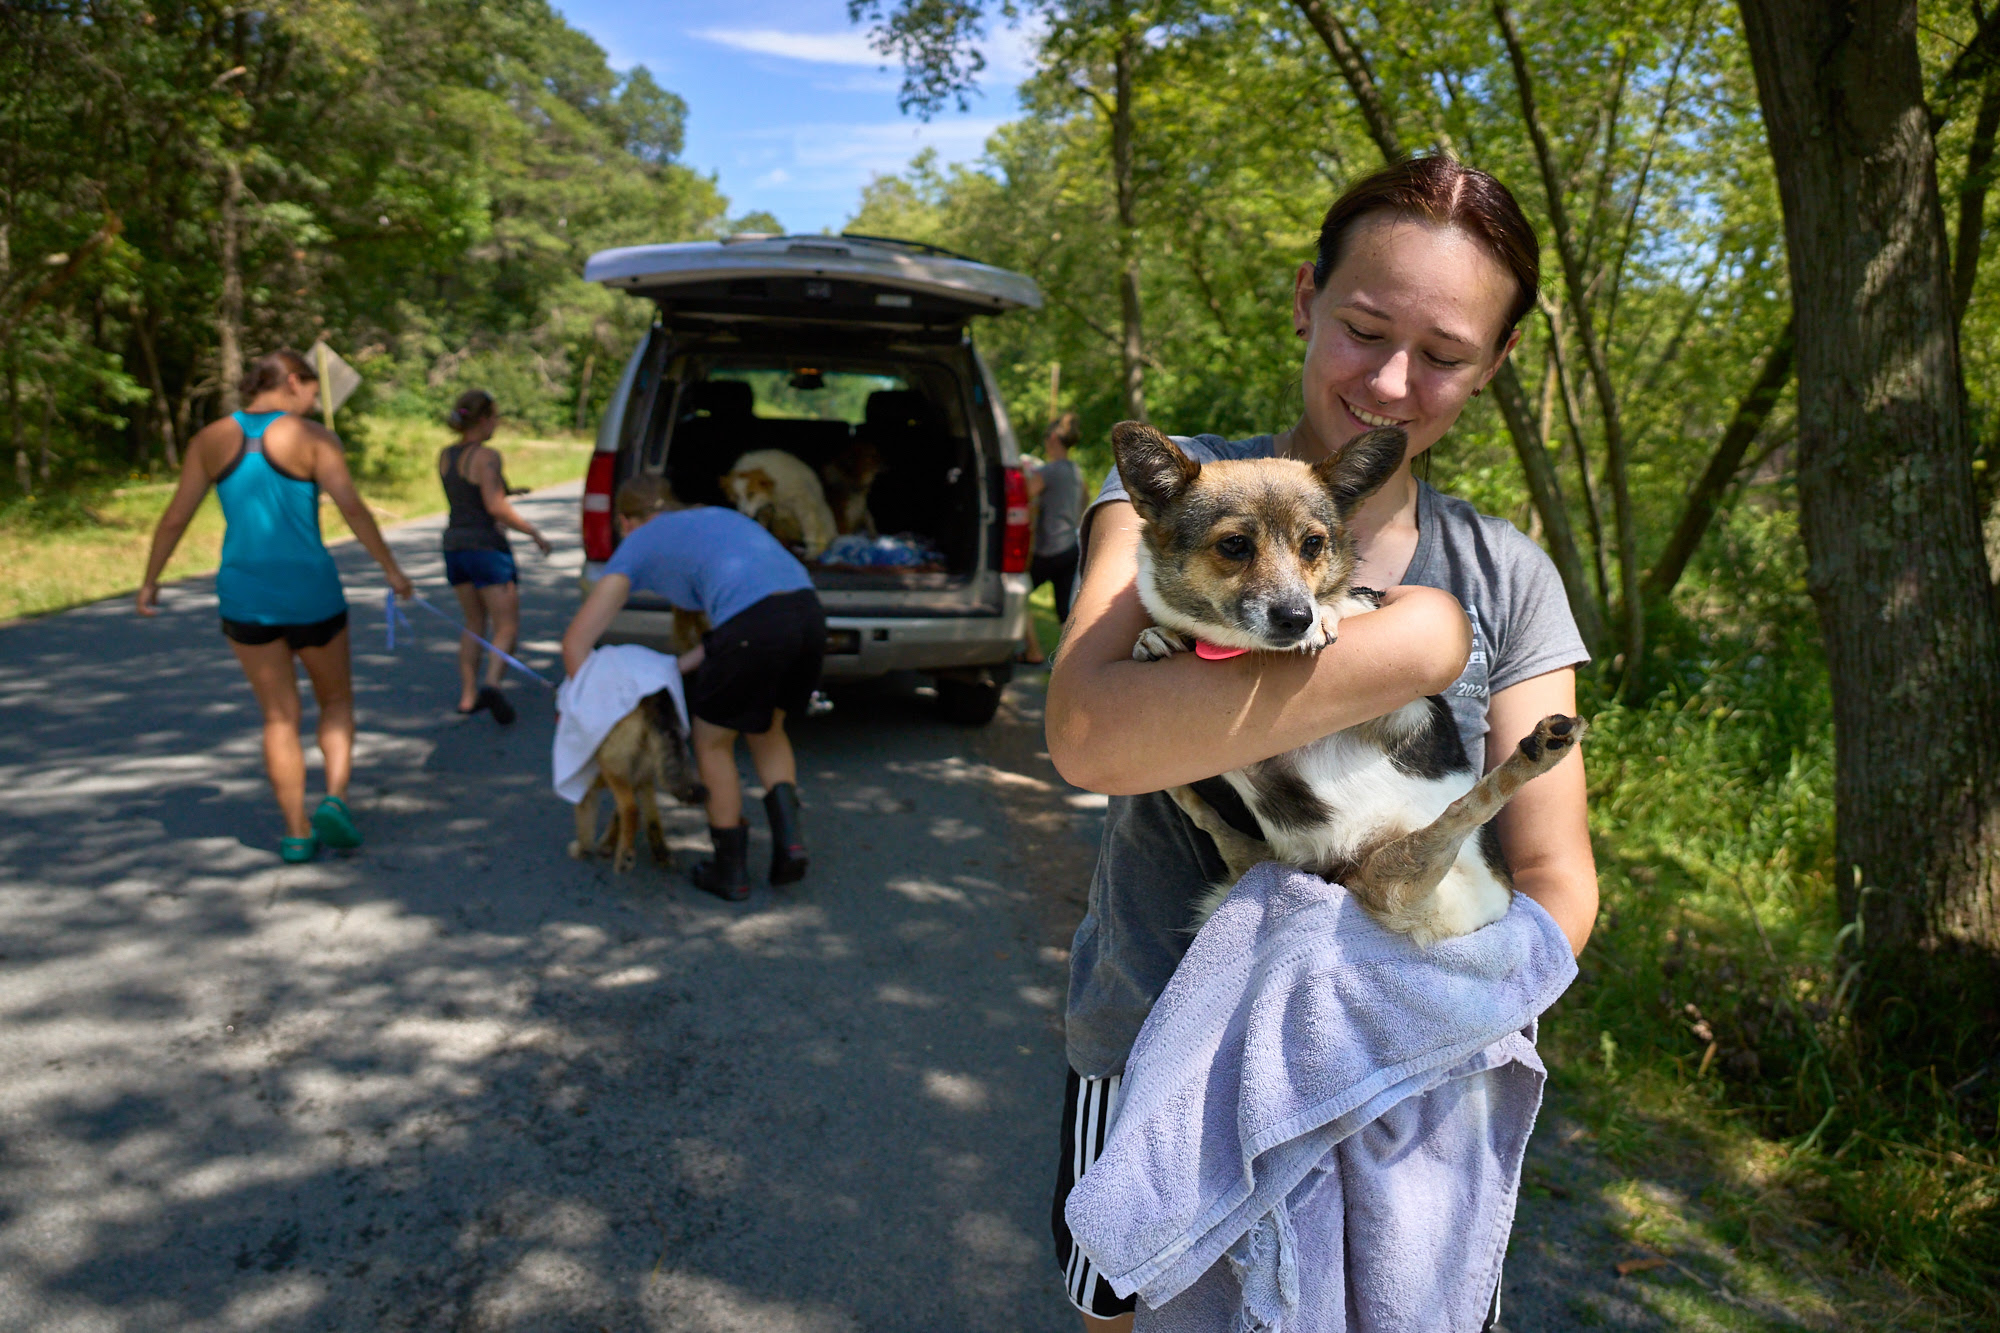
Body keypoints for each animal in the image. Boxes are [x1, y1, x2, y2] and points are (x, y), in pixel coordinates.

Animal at [572, 684, 712, 872]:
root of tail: (653, 699)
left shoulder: (584, 782)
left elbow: (585, 822)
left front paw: (583, 850)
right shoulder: (636, 778)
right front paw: (607, 844)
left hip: (613, 766)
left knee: (631, 809)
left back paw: (625, 857)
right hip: (643, 771)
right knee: (651, 818)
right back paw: (659, 853)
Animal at [1112, 420, 1576, 940]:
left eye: (1312, 544)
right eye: (1234, 545)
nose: (1297, 618)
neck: (1241, 647)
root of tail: (1347, 877)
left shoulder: (1404, 696)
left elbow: (1355, 605)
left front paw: (1330, 615)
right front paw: (1158, 635)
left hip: (1422, 885)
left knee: (1460, 813)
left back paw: (1539, 751)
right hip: (1335, 870)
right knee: (1218, 824)